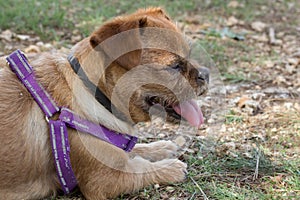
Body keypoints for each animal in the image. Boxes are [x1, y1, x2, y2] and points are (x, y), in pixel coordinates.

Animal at [0, 7, 209, 200]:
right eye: (174, 66)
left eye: (190, 54)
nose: (205, 74)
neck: (93, 92)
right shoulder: (106, 180)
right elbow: (142, 168)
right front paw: (170, 167)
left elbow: (134, 149)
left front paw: (159, 148)